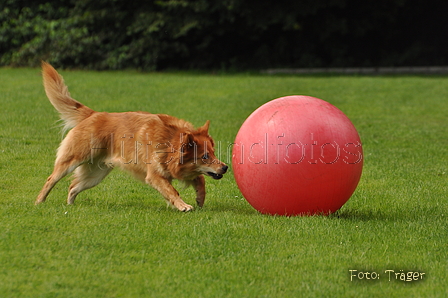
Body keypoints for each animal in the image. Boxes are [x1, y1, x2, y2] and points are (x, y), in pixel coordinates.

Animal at [35, 62, 228, 212]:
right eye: (205, 157)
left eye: (213, 153)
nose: (225, 167)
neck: (169, 141)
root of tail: (94, 114)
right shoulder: (155, 176)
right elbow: (173, 191)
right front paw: (183, 206)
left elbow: (200, 179)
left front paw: (200, 198)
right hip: (73, 160)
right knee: (51, 179)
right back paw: (39, 202)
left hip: (96, 174)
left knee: (72, 186)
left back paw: (70, 206)